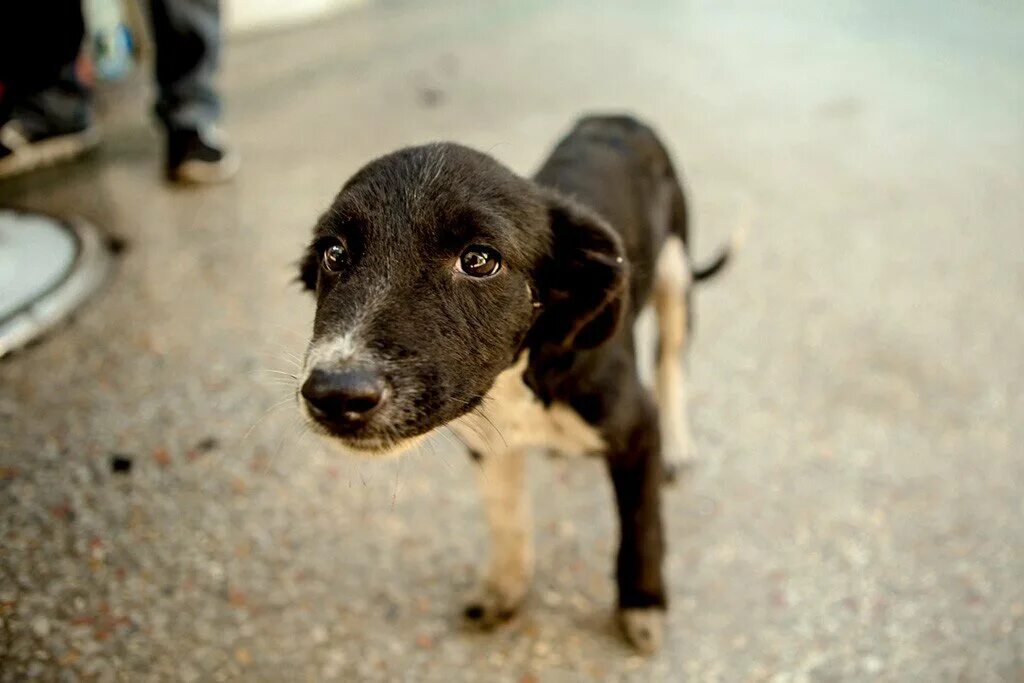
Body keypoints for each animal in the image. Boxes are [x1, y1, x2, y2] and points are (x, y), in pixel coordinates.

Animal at [294, 114, 729, 655]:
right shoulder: (487, 443)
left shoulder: (635, 428)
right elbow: (507, 520)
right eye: (333, 253)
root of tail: (618, 116)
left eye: (479, 260)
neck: (518, 373)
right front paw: (505, 591)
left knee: (671, 360)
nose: (335, 394)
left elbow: (641, 526)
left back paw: (679, 445)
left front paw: (642, 604)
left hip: (675, 273)